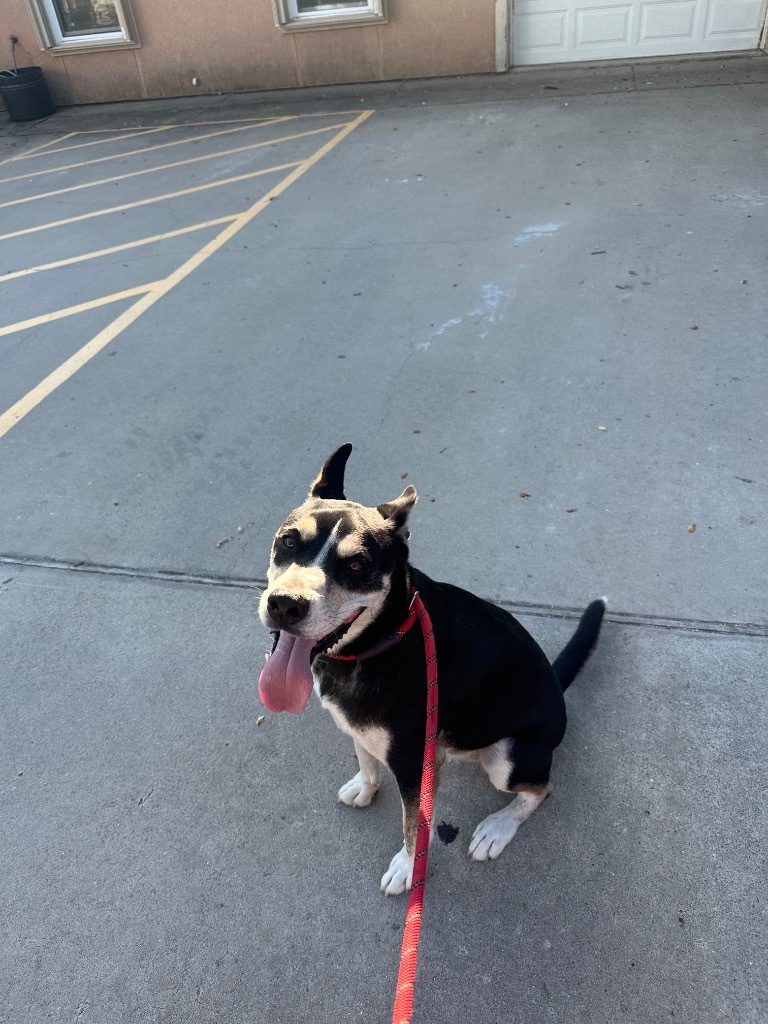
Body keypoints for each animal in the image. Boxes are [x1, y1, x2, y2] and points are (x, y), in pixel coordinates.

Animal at [259, 444, 606, 892]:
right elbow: (365, 758)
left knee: (541, 789)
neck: (380, 642)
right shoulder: (362, 729)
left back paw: (497, 828)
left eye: (356, 566)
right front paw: (365, 787)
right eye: (288, 541)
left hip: (507, 758)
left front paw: (408, 867)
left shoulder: (412, 765)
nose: (285, 605)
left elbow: (414, 824)